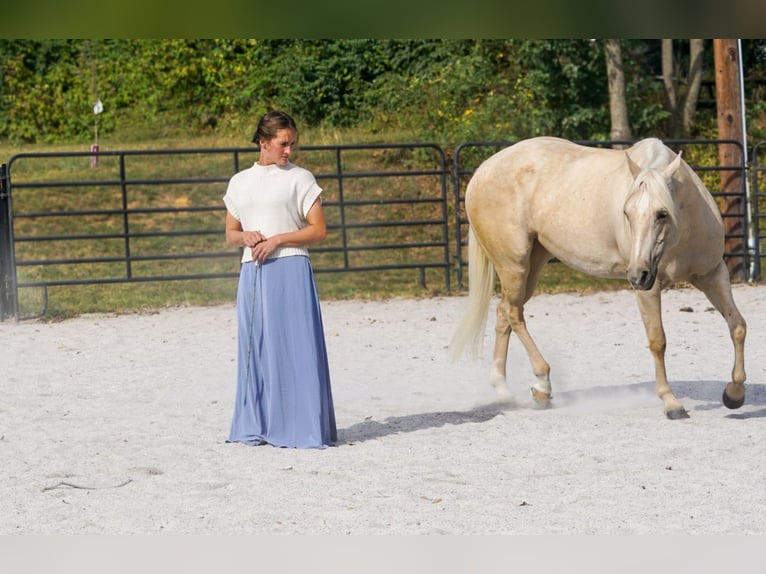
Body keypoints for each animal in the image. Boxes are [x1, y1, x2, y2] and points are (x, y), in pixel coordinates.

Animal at [450, 136, 747, 419]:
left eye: (662, 214)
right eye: (627, 214)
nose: (637, 274)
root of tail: (482, 172)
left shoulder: (712, 275)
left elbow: (738, 326)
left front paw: (734, 394)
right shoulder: (649, 290)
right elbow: (657, 341)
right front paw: (671, 403)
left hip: (532, 266)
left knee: (504, 312)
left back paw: (503, 389)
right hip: (514, 265)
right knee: (513, 314)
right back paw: (542, 384)